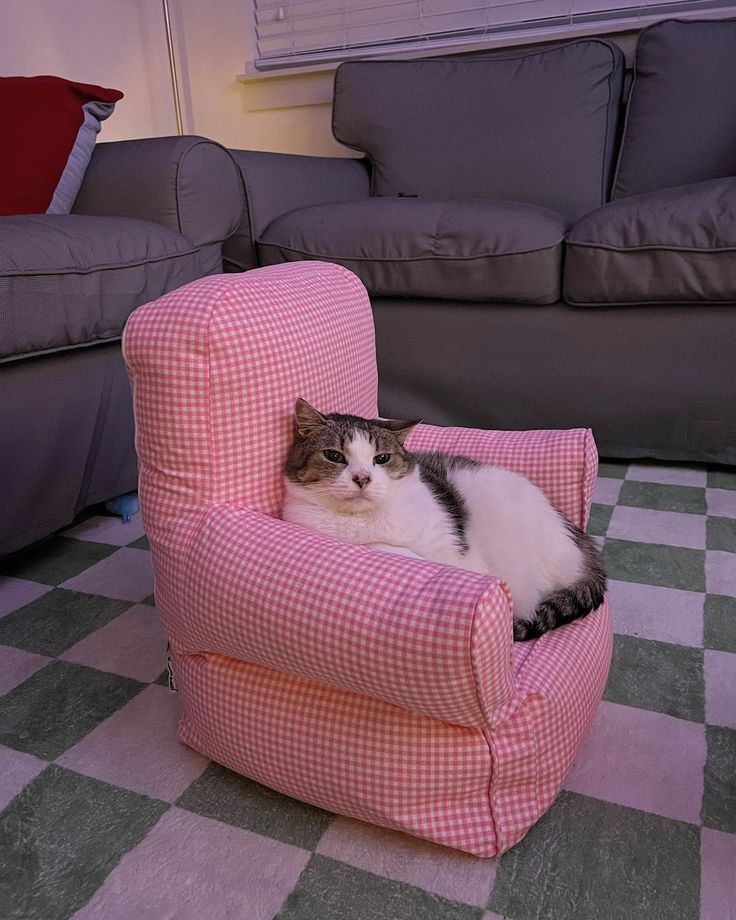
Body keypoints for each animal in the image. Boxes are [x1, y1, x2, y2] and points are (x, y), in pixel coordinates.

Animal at [282, 396, 604, 640]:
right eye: (334, 456)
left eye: (381, 458)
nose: (362, 478)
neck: (364, 520)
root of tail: (580, 540)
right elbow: (384, 548)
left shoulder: (451, 546)